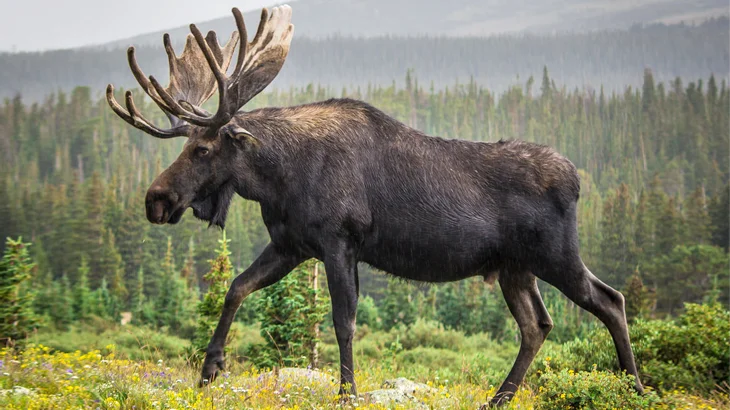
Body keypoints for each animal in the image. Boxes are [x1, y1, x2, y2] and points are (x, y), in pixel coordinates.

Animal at [105, 5, 644, 407]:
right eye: (186, 144)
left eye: (202, 149)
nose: (156, 200)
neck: (279, 179)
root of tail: (577, 179)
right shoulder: (291, 245)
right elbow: (236, 287)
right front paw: (210, 368)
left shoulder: (339, 241)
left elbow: (343, 320)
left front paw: (347, 393)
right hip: (515, 268)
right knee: (537, 325)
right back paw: (499, 397)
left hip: (555, 255)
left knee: (610, 300)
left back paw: (635, 388)